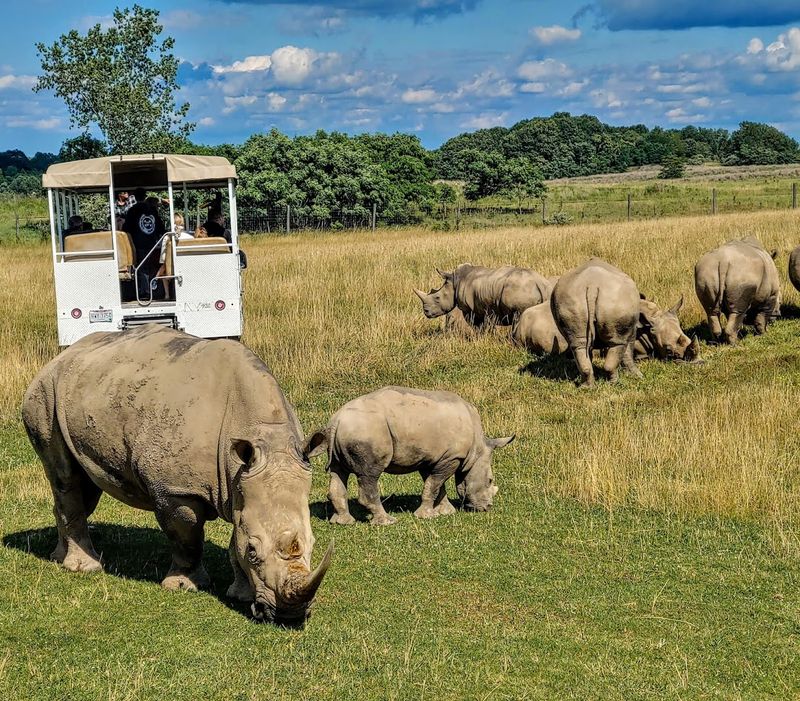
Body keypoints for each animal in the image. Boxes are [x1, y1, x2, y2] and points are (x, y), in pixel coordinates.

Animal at [22, 325, 331, 625]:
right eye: (254, 551)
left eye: (313, 544)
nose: (290, 616)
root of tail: (59, 358)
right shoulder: (177, 490)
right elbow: (187, 536)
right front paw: (184, 586)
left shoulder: (243, 483)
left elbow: (236, 536)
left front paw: (240, 595)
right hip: (45, 394)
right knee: (66, 477)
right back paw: (86, 568)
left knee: (83, 484)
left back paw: (58, 558)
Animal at [303, 387, 514, 526]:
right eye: (489, 480)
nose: (487, 507)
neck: (477, 449)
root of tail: (336, 421)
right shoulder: (452, 457)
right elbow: (434, 484)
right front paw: (427, 516)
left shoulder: (432, 458)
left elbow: (436, 485)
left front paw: (446, 512)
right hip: (366, 431)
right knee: (370, 474)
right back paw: (387, 522)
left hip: (349, 432)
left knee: (338, 472)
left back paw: (342, 522)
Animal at [414, 264, 552, 328]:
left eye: (437, 298)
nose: (426, 312)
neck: (455, 281)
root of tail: (539, 282)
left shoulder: (471, 309)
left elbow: (478, 325)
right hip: (546, 290)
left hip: (519, 290)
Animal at [550, 258, 642, 387]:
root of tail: (592, 286)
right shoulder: (631, 330)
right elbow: (628, 349)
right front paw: (637, 375)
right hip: (617, 301)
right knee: (617, 343)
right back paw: (614, 383)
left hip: (570, 299)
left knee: (580, 344)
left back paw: (586, 386)